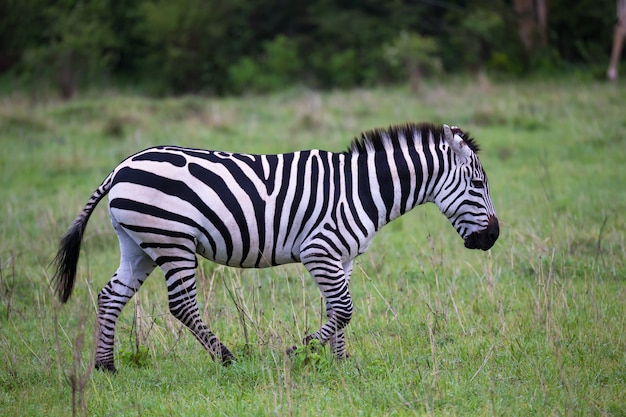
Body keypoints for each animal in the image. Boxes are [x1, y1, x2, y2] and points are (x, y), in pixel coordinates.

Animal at [51, 121, 498, 370]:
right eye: (478, 184)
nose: (493, 237)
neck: (362, 189)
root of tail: (121, 167)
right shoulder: (319, 250)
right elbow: (344, 309)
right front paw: (298, 353)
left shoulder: (342, 258)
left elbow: (338, 310)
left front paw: (339, 363)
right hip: (172, 240)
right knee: (181, 305)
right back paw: (225, 358)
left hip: (139, 244)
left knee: (111, 296)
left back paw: (106, 366)